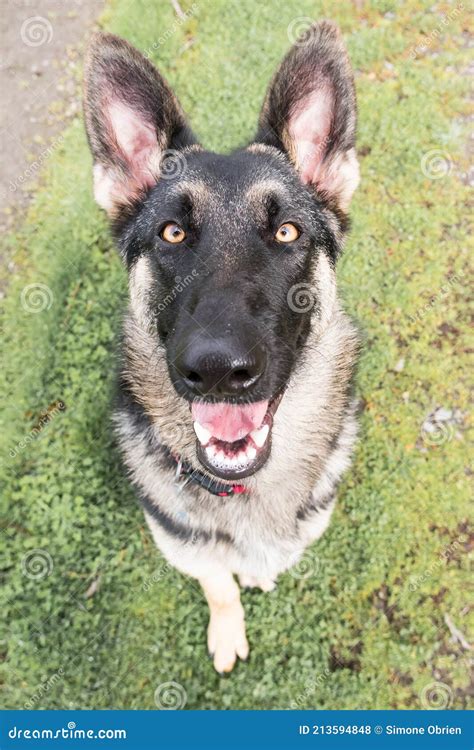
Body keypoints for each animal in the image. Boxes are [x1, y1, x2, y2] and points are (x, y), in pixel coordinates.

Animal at [84, 22, 360, 676]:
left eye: (286, 232)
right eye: (172, 233)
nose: (215, 370)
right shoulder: (187, 550)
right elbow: (218, 585)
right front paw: (228, 626)